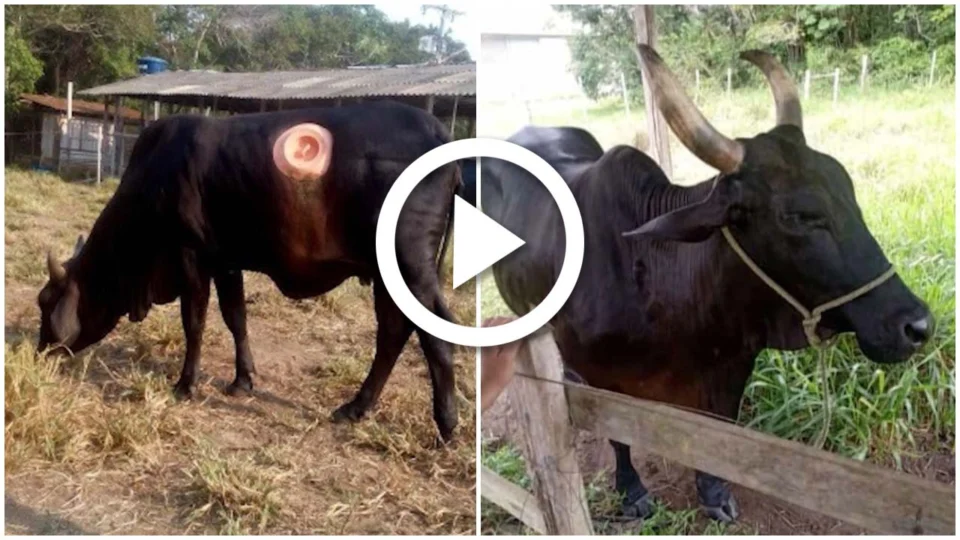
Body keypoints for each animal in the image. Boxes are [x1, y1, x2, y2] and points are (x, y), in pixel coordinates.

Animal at [36, 101, 463, 442]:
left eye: (45, 303)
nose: (40, 351)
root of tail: (442, 134)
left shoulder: (191, 256)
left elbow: (194, 323)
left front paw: (185, 384)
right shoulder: (226, 261)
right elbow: (235, 318)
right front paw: (243, 380)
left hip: (410, 265)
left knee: (432, 334)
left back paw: (446, 425)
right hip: (387, 275)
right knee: (393, 333)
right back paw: (356, 408)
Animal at [481, 47, 933, 521]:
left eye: (851, 195)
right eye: (799, 216)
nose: (917, 325)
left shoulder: (731, 365)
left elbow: (717, 429)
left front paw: (714, 492)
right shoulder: (605, 381)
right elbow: (618, 436)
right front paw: (632, 491)